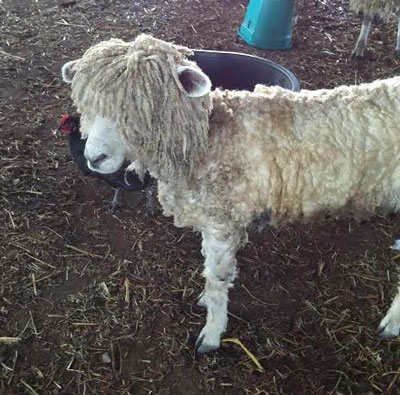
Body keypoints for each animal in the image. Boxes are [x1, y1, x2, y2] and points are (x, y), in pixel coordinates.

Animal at [62, 35, 400, 354]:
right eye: (87, 104)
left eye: (143, 109)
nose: (94, 158)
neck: (208, 141)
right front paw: (206, 301)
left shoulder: (222, 223)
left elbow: (217, 277)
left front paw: (212, 332)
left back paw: (391, 323)